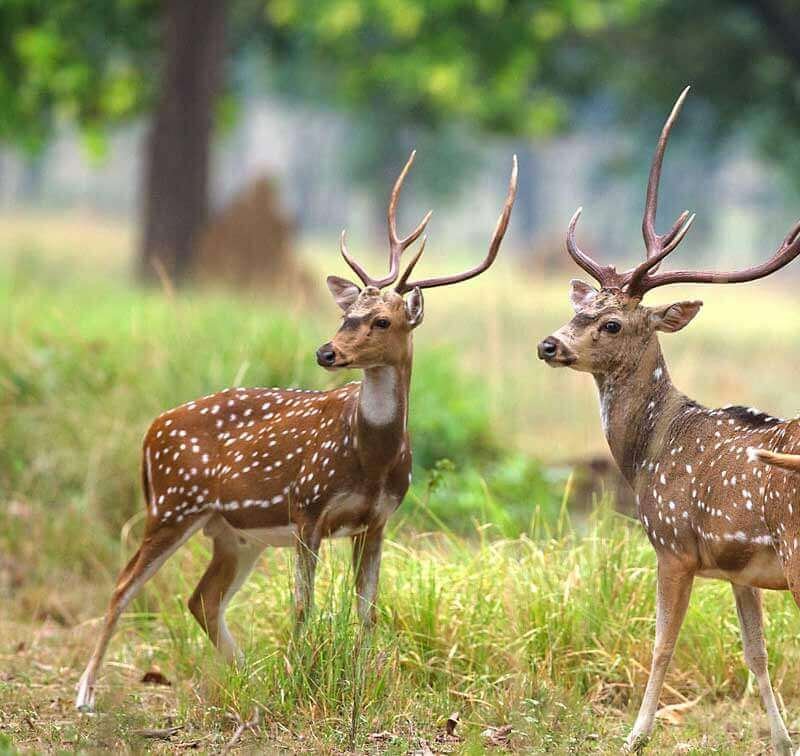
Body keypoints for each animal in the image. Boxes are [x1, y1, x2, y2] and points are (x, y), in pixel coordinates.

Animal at [75, 152, 520, 708]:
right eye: (347, 314)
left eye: (382, 321)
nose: (326, 352)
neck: (370, 458)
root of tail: (151, 429)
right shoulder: (307, 506)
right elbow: (302, 605)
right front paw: (299, 678)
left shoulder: (378, 520)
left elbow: (368, 610)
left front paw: (359, 683)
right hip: (174, 503)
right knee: (123, 586)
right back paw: (86, 695)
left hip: (233, 532)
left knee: (202, 599)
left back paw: (246, 677)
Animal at [536, 87, 800, 752]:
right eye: (579, 307)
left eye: (612, 323)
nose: (549, 344)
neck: (649, 452)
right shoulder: (739, 568)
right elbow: (757, 655)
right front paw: (781, 740)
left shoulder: (674, 544)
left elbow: (660, 646)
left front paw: (635, 734)